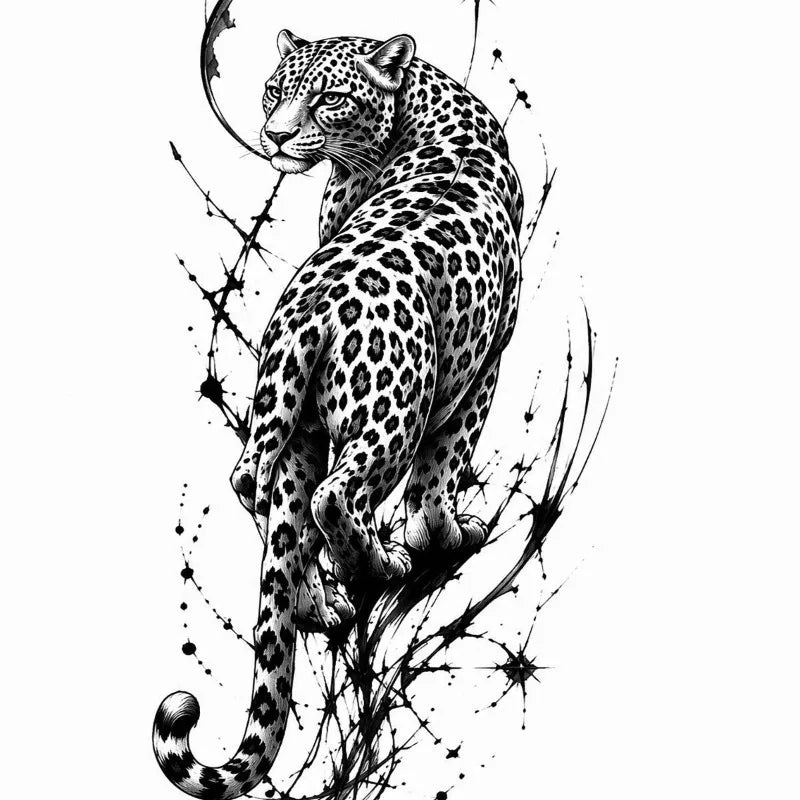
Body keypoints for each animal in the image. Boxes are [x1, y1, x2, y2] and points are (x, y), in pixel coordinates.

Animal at [154, 27, 524, 799]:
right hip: (391, 412)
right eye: (274, 90)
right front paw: (445, 536)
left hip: (291, 422)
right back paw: (380, 566)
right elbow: (442, 469)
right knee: (335, 496)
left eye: (325, 97)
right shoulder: (487, 360)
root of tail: (311, 310)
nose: (273, 134)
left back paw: (315, 604)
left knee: (261, 491)